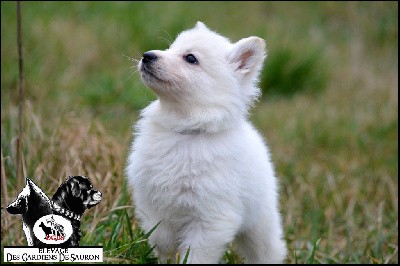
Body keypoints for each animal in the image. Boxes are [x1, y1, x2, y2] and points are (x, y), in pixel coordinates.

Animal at [126, 21, 286, 264]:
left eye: (191, 58)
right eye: (170, 48)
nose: (147, 55)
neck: (186, 131)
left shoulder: (211, 217)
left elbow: (196, 254)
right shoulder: (153, 202)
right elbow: (161, 239)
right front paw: (165, 256)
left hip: (260, 222)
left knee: (267, 250)